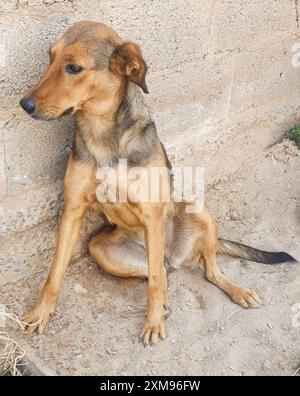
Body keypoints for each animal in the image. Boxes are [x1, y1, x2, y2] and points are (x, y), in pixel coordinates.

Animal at [19, 20, 296, 344]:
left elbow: (153, 281)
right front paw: (40, 314)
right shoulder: (73, 210)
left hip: (198, 212)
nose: (24, 104)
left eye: (74, 67)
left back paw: (237, 291)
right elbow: (53, 274)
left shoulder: (152, 214)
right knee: (162, 271)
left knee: (203, 271)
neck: (103, 133)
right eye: (50, 59)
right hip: (100, 248)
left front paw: (152, 323)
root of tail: (174, 255)